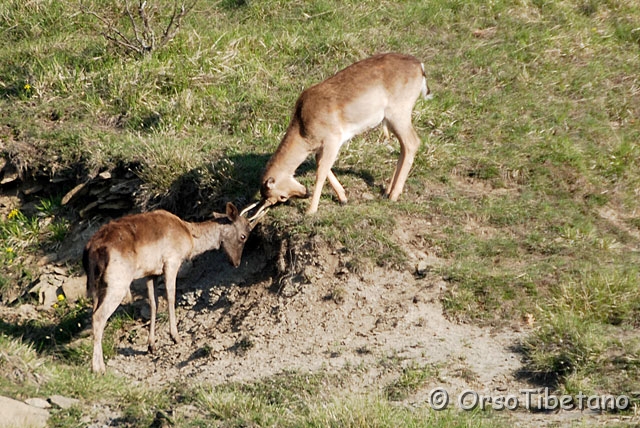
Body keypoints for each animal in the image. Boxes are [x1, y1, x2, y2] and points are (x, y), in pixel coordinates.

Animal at [83, 202, 262, 372]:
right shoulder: (172, 260)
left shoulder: (151, 273)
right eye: (243, 236)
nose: (236, 263)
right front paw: (175, 336)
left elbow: (153, 304)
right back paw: (98, 368)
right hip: (118, 281)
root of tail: (91, 249)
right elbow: (170, 296)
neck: (190, 236)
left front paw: (151, 345)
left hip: (96, 285)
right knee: (98, 317)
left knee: (94, 312)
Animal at [242, 53, 432, 219]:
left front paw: (311, 211)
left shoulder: (332, 140)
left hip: (399, 114)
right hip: (392, 120)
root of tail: (420, 66)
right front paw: (343, 198)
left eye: (281, 196)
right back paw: (387, 191)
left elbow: (321, 171)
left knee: (412, 143)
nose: (305, 193)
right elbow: (322, 166)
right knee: (404, 147)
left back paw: (393, 196)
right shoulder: (322, 147)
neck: (303, 127)